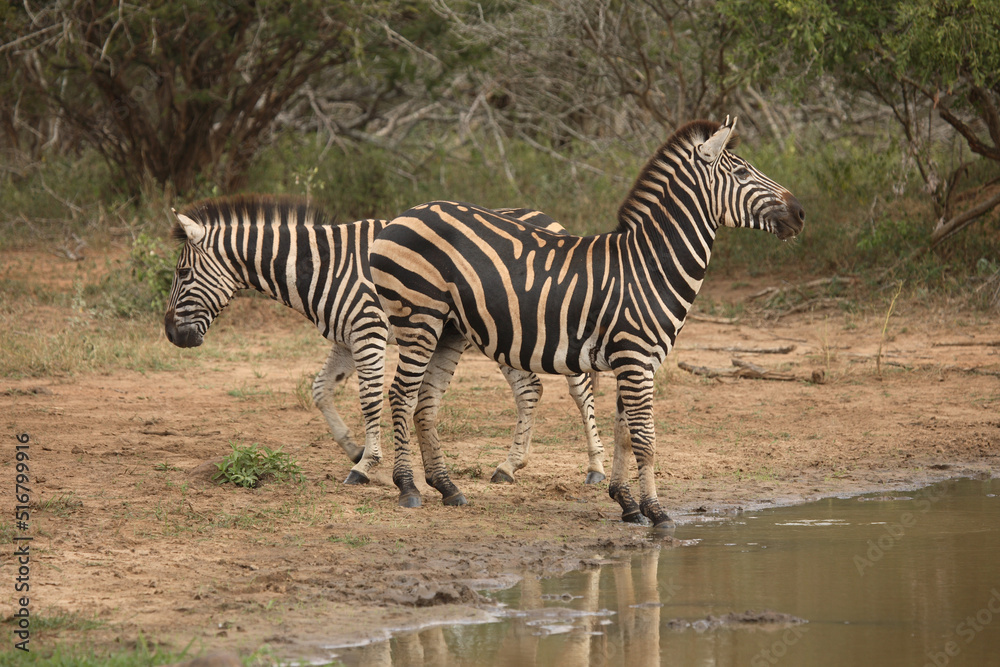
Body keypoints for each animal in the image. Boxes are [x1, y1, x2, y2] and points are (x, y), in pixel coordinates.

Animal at [162, 195, 607, 490]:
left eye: (182, 273)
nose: (170, 334)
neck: (321, 266)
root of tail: (550, 220)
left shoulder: (368, 329)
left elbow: (371, 397)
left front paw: (367, 464)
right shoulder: (344, 338)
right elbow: (320, 390)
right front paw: (354, 449)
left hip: (552, 326)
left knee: (579, 390)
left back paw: (596, 467)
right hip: (506, 332)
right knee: (529, 389)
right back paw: (509, 465)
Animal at [369, 117, 804, 529]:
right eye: (743, 172)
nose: (801, 213)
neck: (650, 266)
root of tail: (403, 216)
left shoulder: (637, 363)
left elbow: (624, 435)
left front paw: (627, 504)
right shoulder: (635, 358)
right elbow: (646, 439)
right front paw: (657, 512)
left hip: (449, 329)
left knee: (427, 400)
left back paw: (447, 487)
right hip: (418, 320)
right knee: (402, 394)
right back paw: (408, 488)